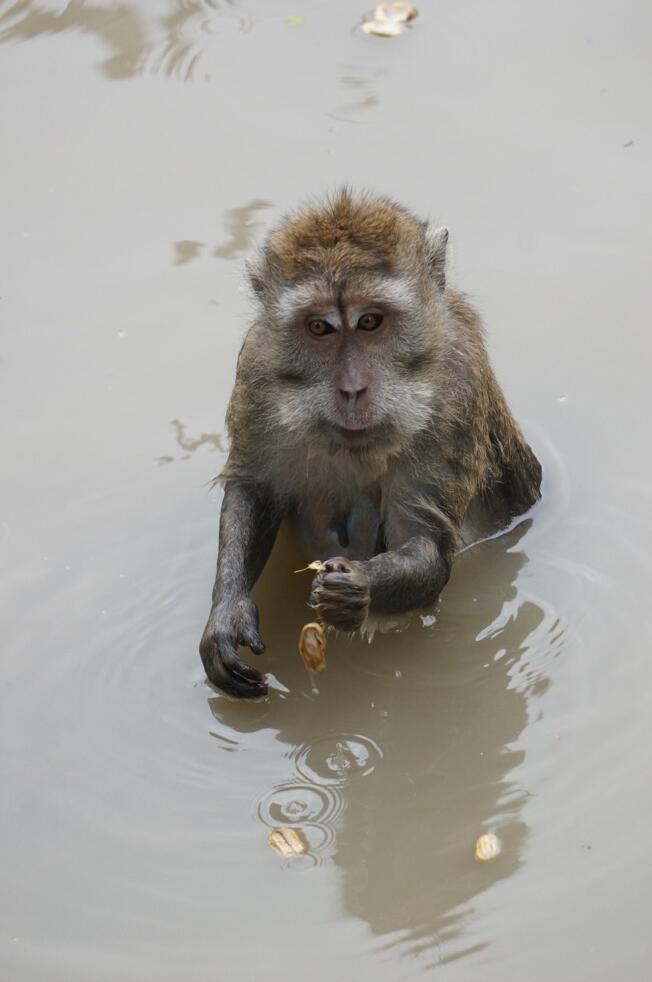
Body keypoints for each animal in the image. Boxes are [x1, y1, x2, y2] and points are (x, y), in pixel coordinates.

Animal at [200, 190, 544, 700]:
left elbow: (425, 541)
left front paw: (358, 586)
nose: (351, 389)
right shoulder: (257, 369)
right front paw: (227, 614)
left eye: (370, 321)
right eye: (319, 328)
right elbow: (252, 489)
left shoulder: (455, 391)